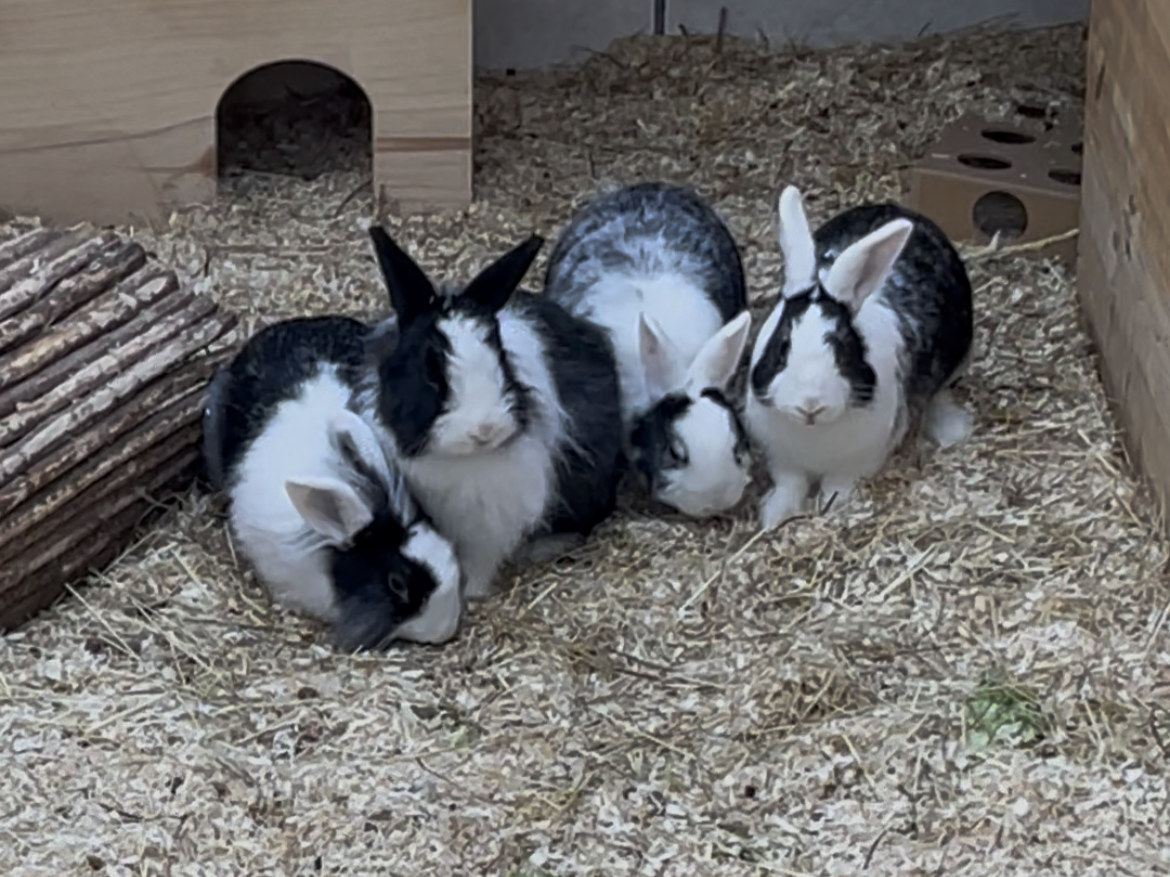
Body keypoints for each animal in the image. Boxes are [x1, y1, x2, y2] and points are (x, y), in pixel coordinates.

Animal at [356, 225, 624, 600]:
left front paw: (470, 593)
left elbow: (480, 561)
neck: (462, 458)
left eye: (501, 358)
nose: (485, 430)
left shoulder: (490, 526)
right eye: (430, 371)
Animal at [745, 185, 975, 531]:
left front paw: (830, 509)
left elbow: (837, 486)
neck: (812, 432)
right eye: (782, 346)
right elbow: (790, 485)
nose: (810, 405)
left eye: (841, 347)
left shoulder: (860, 460)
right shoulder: (782, 460)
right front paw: (774, 517)